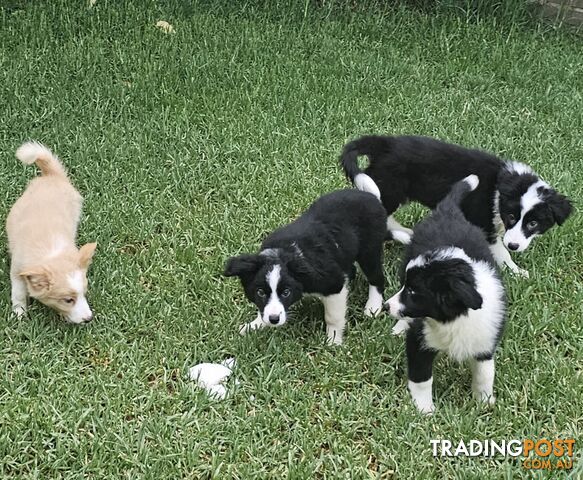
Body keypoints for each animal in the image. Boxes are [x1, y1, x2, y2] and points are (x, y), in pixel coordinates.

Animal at [6, 141, 97, 324]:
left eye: (84, 293)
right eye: (68, 300)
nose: (89, 319)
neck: (50, 252)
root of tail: (52, 175)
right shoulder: (17, 268)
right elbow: (18, 292)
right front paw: (19, 313)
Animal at [340, 135, 572, 278]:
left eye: (533, 224)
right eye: (512, 217)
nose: (514, 246)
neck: (503, 185)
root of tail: (384, 143)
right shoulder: (484, 223)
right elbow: (500, 252)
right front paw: (516, 271)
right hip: (388, 187)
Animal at [384, 174, 506, 414]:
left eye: (413, 291)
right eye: (408, 288)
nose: (386, 306)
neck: (451, 320)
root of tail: (448, 211)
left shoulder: (485, 340)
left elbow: (485, 373)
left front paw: (484, 402)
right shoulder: (420, 339)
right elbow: (422, 378)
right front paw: (425, 410)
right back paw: (399, 327)